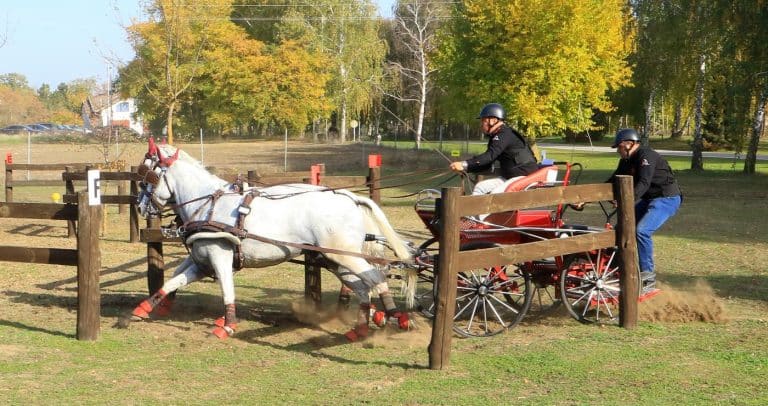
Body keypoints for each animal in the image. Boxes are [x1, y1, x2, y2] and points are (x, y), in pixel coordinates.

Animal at [127, 140, 414, 340]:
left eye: (148, 177)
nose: (141, 207)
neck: (207, 203)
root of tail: (350, 197)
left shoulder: (220, 255)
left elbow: (226, 289)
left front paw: (227, 326)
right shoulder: (201, 260)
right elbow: (173, 279)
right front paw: (143, 309)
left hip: (342, 255)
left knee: (376, 278)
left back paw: (397, 316)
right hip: (335, 259)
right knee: (363, 286)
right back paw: (362, 327)